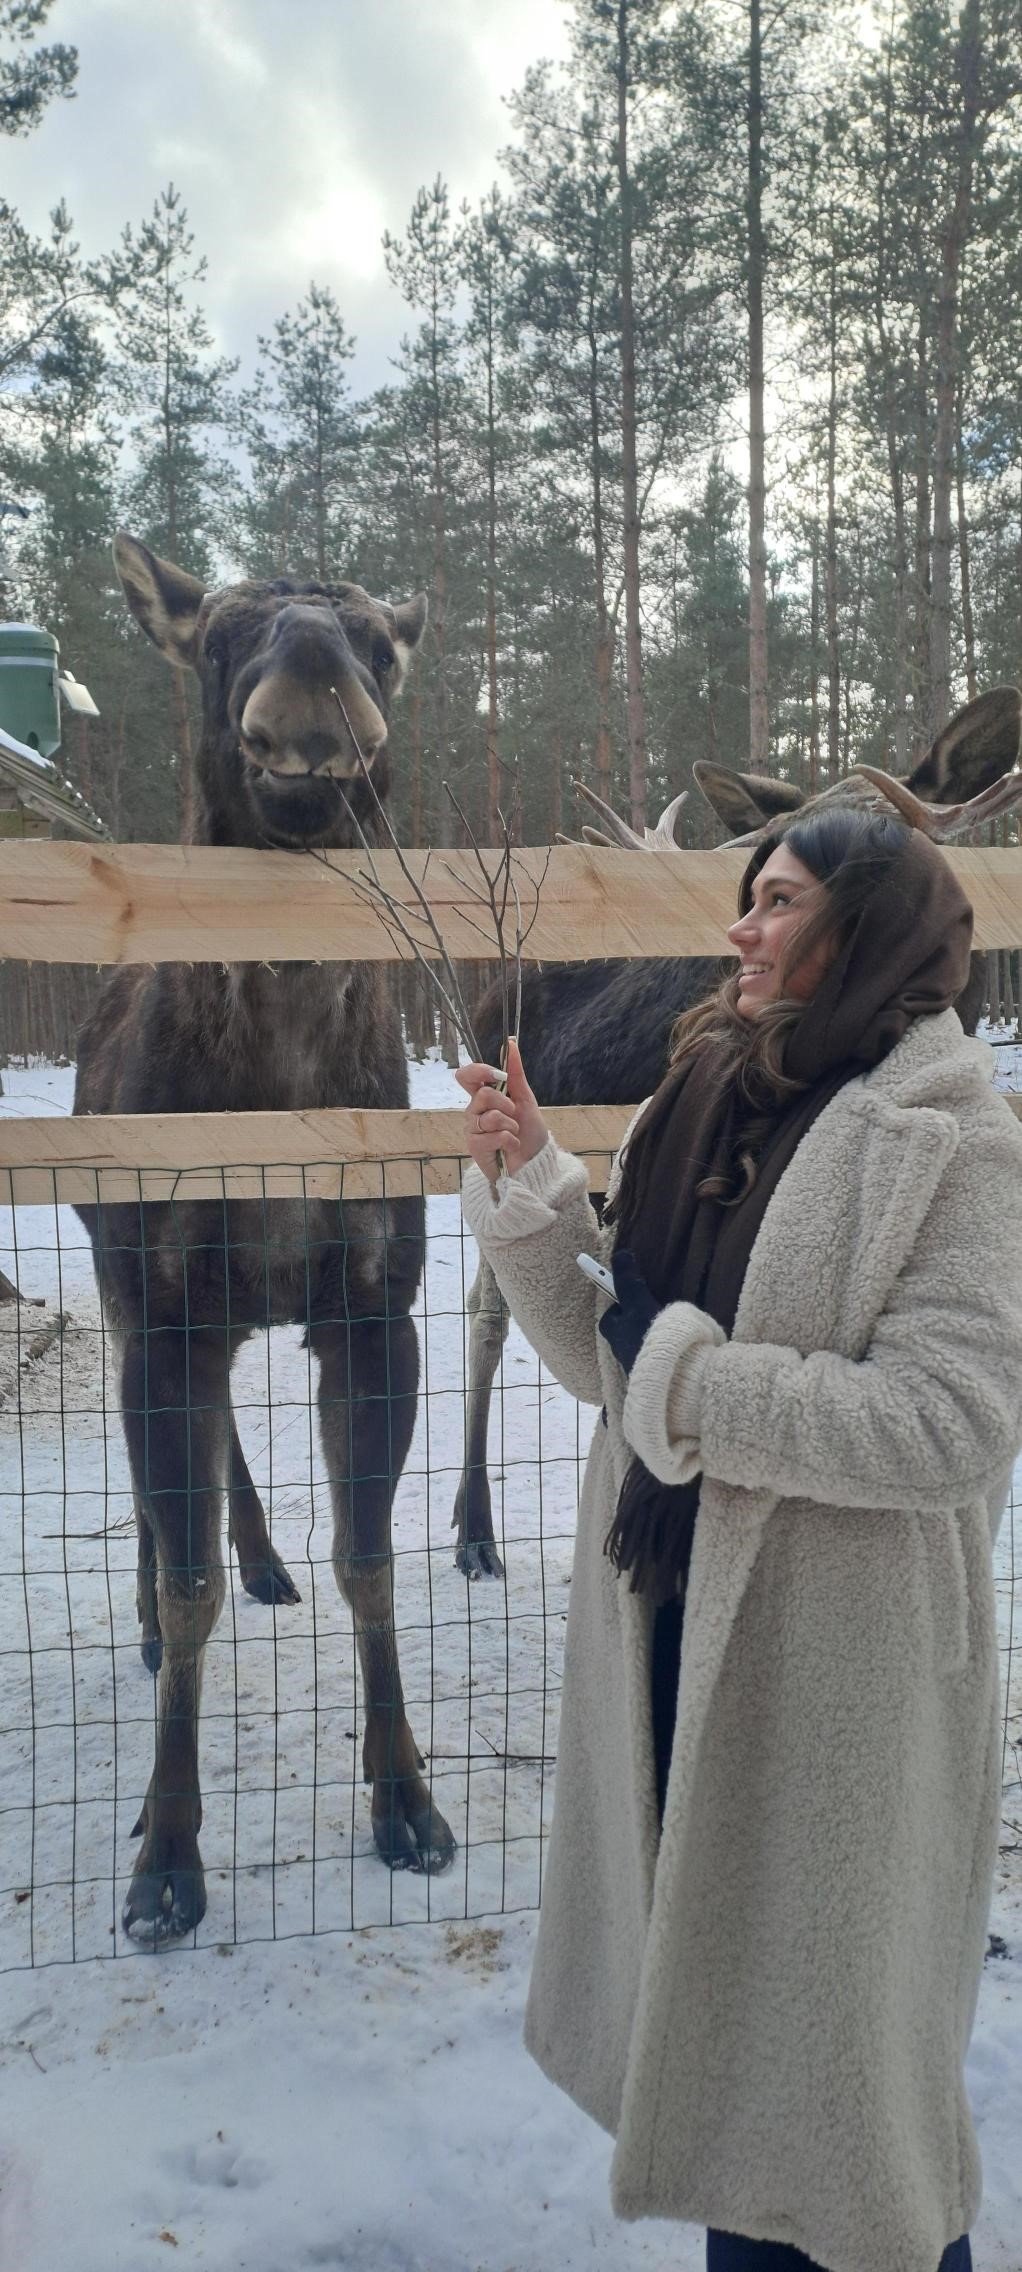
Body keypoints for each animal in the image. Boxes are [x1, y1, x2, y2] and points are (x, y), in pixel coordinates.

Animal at [74, 534, 456, 1941]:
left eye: (381, 647)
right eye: (220, 635)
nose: (312, 688)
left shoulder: (373, 1304)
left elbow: (371, 1560)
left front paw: (404, 1797)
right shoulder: (167, 1306)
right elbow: (188, 1587)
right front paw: (167, 1852)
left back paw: (266, 1558)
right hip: (127, 1290)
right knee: (156, 1497)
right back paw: (150, 1613)